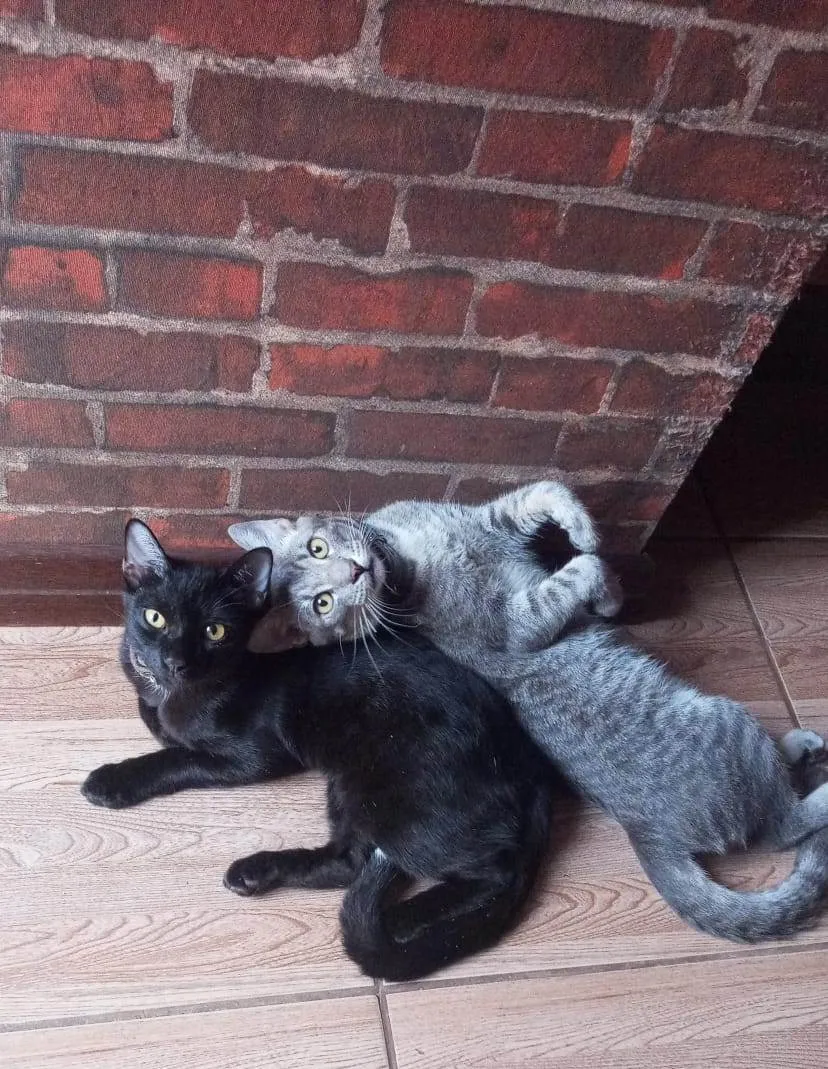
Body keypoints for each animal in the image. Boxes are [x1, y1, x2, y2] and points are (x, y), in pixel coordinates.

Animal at [81, 519, 552, 981]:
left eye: (215, 631)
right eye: (155, 618)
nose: (175, 663)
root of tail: (531, 773)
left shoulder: (256, 755)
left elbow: (179, 757)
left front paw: (114, 780)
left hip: (389, 792)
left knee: (492, 873)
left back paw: (402, 917)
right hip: (352, 786)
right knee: (350, 860)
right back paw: (256, 872)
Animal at [230, 481, 828, 942]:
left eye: (317, 547)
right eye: (322, 603)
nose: (353, 574)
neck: (404, 558)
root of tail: (651, 835)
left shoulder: (488, 518)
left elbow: (546, 495)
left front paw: (597, 559)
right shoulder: (515, 624)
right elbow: (575, 572)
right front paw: (599, 582)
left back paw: (801, 747)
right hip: (734, 728)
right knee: (781, 826)